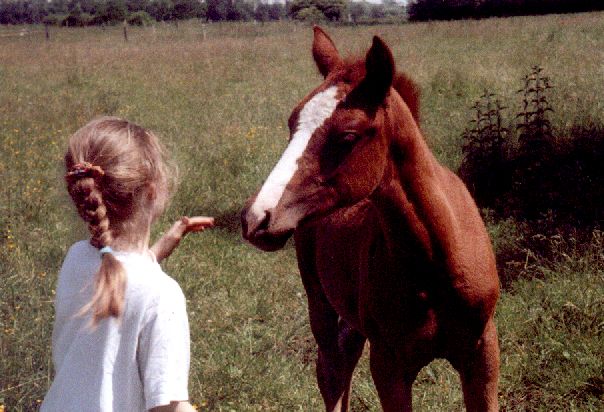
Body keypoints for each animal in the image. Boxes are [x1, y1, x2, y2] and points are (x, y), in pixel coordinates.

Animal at [241, 27, 500, 410]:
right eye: (292, 123)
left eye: (348, 136)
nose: (256, 217)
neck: (434, 262)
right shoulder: (388, 363)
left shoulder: (483, 352)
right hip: (319, 304)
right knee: (331, 372)